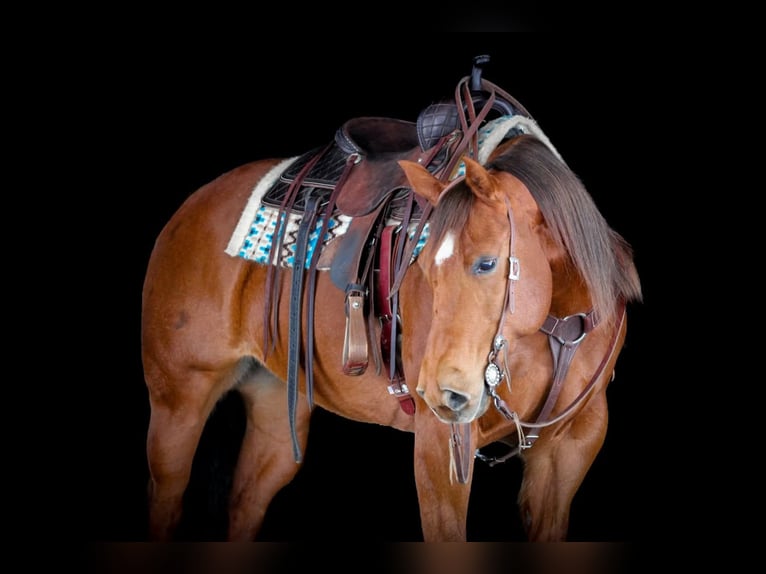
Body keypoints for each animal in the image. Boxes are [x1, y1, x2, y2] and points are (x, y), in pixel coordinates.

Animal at [141, 67, 642, 541]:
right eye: (424, 268)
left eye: (487, 263)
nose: (444, 393)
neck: (560, 321)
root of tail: (187, 212)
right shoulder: (441, 445)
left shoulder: (569, 447)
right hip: (178, 403)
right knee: (166, 502)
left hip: (275, 404)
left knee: (245, 503)